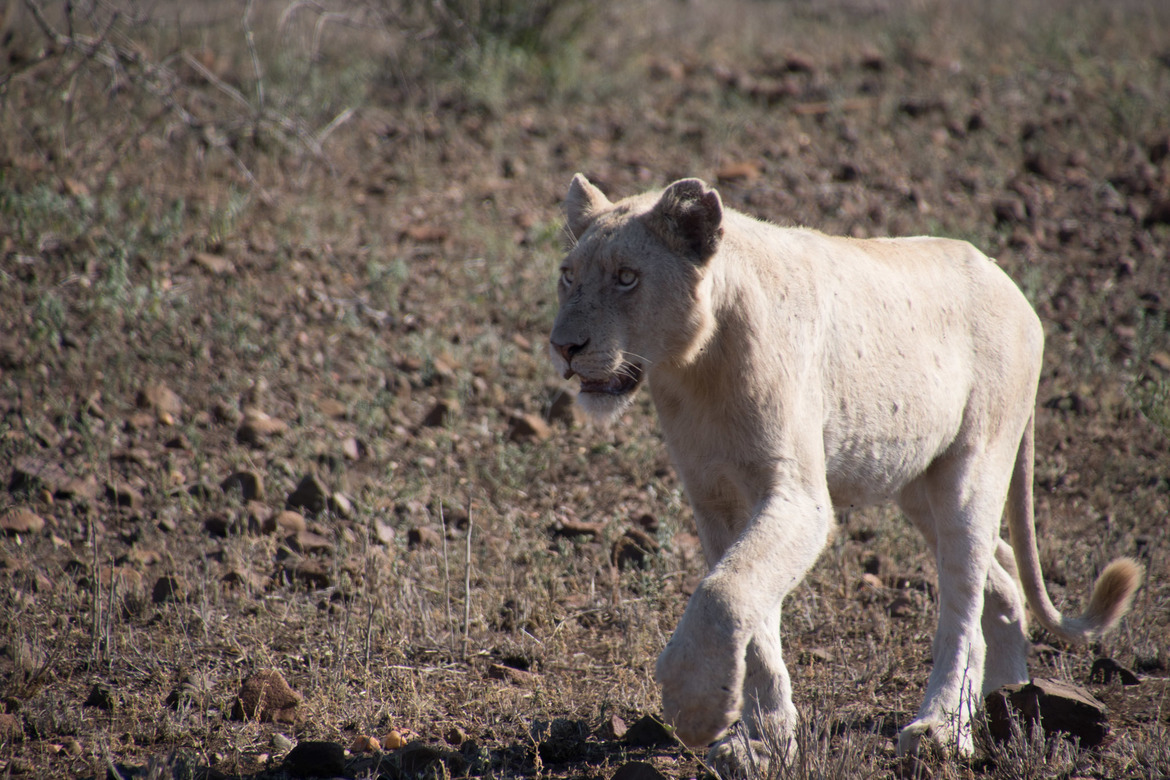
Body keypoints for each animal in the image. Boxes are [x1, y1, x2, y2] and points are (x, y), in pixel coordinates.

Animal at [548, 174, 1141, 771]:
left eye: (627, 277)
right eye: (568, 275)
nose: (564, 347)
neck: (696, 370)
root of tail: (1009, 282)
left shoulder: (798, 497)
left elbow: (724, 592)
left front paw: (694, 706)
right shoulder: (714, 498)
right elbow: (750, 609)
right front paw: (764, 741)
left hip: (973, 469)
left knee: (963, 603)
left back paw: (941, 731)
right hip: (918, 488)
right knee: (999, 574)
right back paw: (1011, 702)